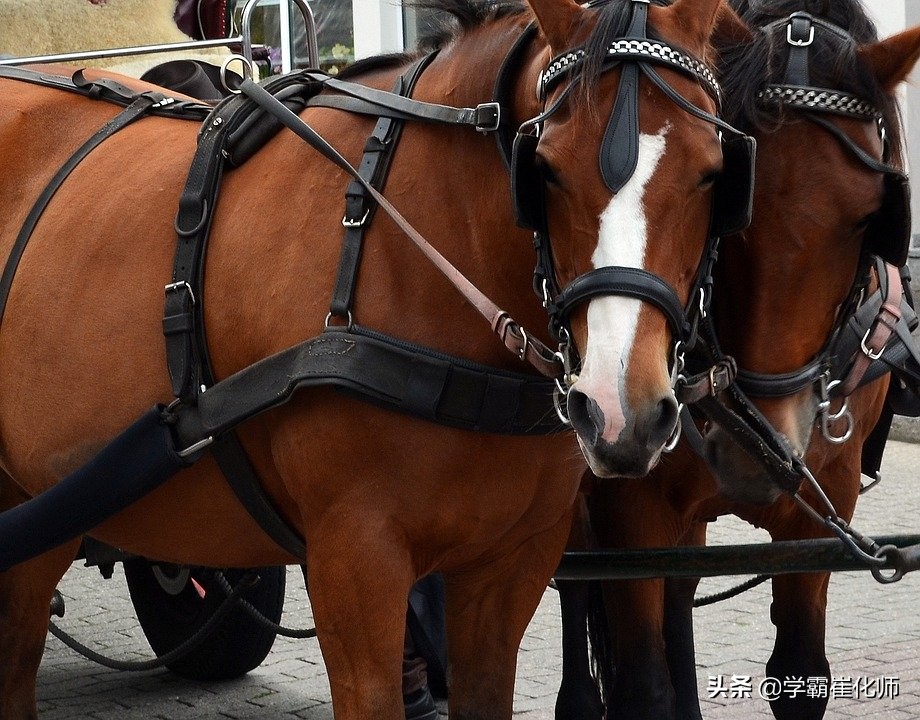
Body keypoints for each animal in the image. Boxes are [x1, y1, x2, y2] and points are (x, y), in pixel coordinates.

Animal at [556, 4, 920, 720]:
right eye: (737, 204)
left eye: (870, 217)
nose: (759, 454)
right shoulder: (631, 503)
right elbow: (642, 681)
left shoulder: (824, 499)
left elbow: (799, 671)